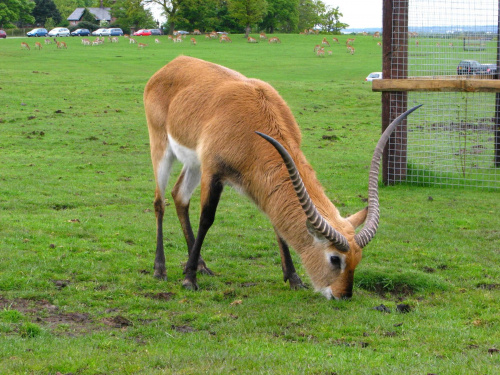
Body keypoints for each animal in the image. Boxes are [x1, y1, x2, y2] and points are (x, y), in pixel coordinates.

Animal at [143, 55, 420, 302]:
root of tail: (172, 64)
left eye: (358, 258)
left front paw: (294, 278)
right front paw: (189, 280)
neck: (250, 122)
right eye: (335, 258)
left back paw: (201, 265)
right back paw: (160, 270)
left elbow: (277, 223)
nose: (343, 295)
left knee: (179, 196)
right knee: (159, 202)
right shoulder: (213, 171)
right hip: (161, 147)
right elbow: (207, 219)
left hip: (193, 164)